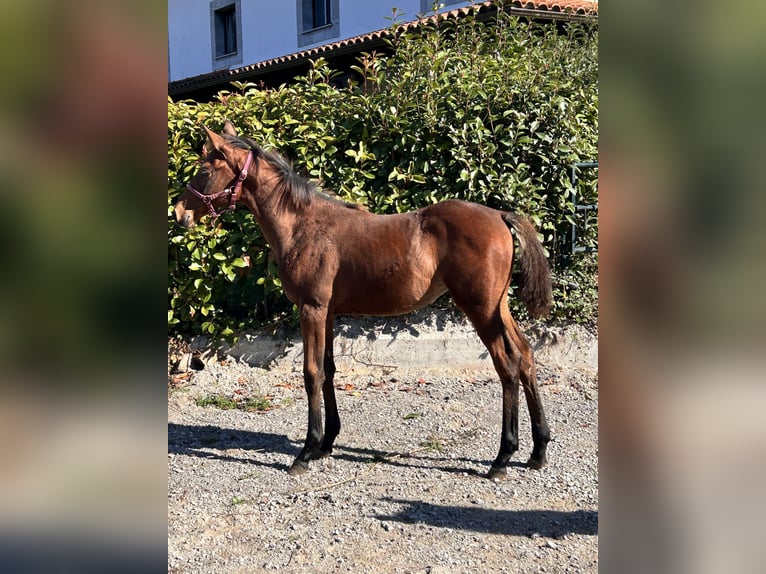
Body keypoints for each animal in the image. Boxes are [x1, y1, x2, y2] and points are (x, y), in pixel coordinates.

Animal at [174, 121, 552, 480]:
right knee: (526, 355)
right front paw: (327, 443)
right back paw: (538, 451)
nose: (180, 213)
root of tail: (499, 215)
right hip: (498, 307)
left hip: (480, 308)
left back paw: (503, 458)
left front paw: (306, 452)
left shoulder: (311, 309)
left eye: (204, 170)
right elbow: (328, 370)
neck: (303, 226)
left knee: (507, 364)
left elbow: (311, 373)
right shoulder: (327, 313)